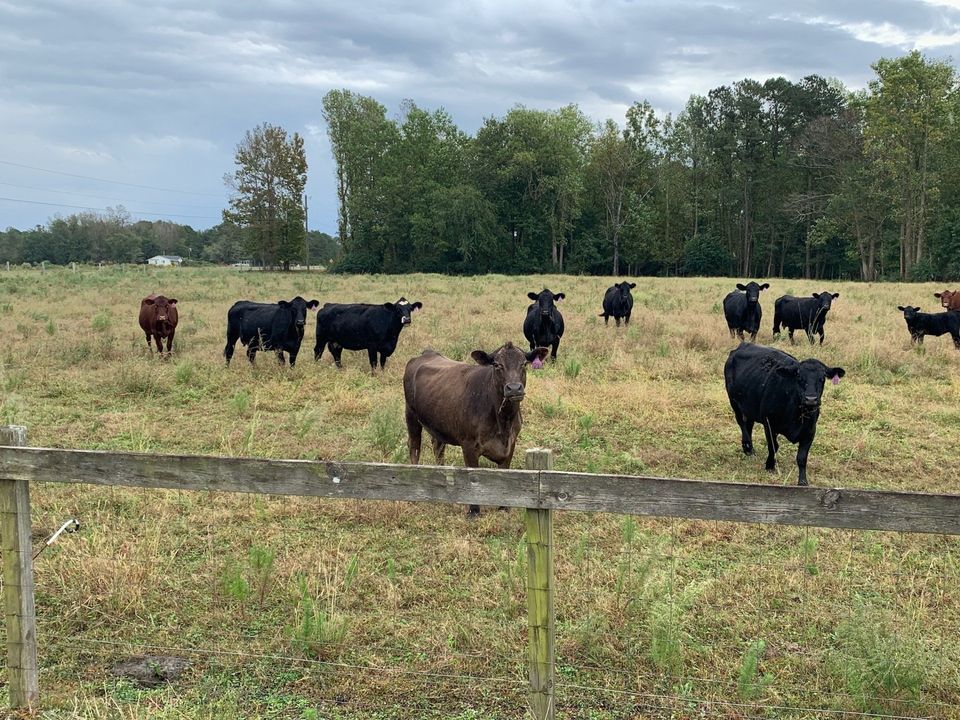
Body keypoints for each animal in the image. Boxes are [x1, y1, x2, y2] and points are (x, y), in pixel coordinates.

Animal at [403, 342, 550, 516]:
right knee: (414, 447)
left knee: (438, 447)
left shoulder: (511, 443)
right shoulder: (468, 445)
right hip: (411, 415)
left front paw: (503, 508)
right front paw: (474, 511)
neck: (503, 423)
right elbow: (473, 478)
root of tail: (427, 353)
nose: (514, 388)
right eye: (496, 365)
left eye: (524, 364)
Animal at [724, 343, 845, 486]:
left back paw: (750, 449)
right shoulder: (769, 424)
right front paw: (770, 466)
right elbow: (773, 447)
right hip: (734, 402)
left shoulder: (810, 431)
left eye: (822, 379)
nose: (811, 399)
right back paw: (748, 447)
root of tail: (743, 345)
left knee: (749, 424)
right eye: (799, 377)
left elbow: (802, 457)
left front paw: (803, 481)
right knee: (742, 423)